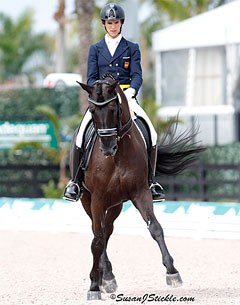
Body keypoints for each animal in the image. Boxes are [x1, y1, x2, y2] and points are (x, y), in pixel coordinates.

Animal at [73, 75, 204, 298]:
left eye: (114, 108)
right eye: (91, 110)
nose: (107, 148)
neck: (118, 156)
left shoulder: (141, 192)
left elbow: (155, 228)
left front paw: (172, 272)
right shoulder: (97, 199)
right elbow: (97, 241)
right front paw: (93, 286)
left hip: (115, 204)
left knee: (107, 230)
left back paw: (108, 276)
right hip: (87, 200)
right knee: (98, 233)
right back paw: (104, 277)